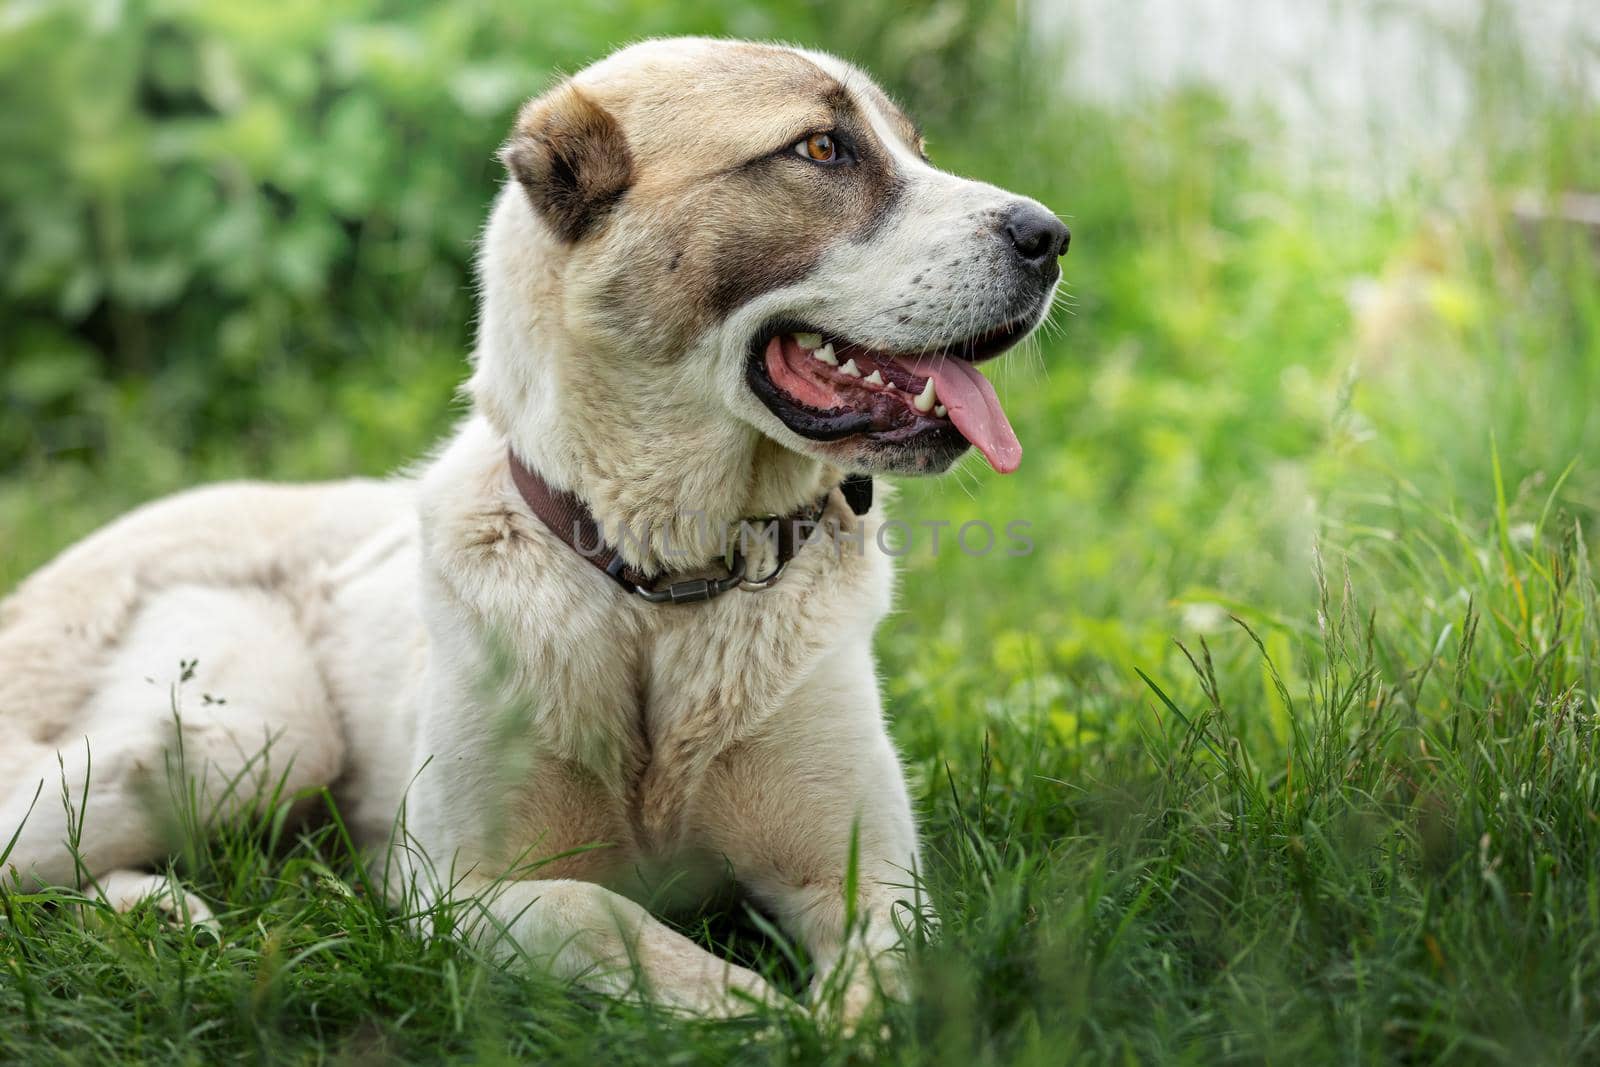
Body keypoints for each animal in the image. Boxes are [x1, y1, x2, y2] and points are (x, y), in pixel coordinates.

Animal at [3, 37, 1075, 1023]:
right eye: (821, 148)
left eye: (915, 148)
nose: (1052, 235)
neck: (663, 579)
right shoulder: (454, 889)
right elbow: (603, 915)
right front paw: (754, 1011)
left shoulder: (870, 877)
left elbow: (884, 984)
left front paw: (830, 1024)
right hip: (256, 731)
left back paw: (160, 913)